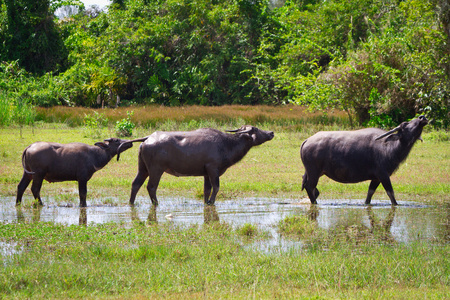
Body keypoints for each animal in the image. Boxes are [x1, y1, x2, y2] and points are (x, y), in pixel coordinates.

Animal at [118, 125, 274, 206]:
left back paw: (131, 203)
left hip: (143, 168)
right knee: (151, 187)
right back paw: (156, 203)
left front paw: (206, 202)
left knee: (135, 184)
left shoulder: (206, 173)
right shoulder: (213, 169)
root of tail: (148, 138)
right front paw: (211, 202)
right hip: (156, 169)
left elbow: (206, 190)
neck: (226, 144)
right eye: (256, 129)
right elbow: (216, 187)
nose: (271, 132)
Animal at [300, 114, 428, 204]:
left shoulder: (376, 178)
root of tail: (307, 140)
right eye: (405, 124)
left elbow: (369, 195)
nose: (422, 117)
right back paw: (315, 203)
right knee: (310, 187)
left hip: (316, 173)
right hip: (314, 172)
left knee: (313, 189)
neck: (388, 148)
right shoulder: (383, 175)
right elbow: (391, 194)